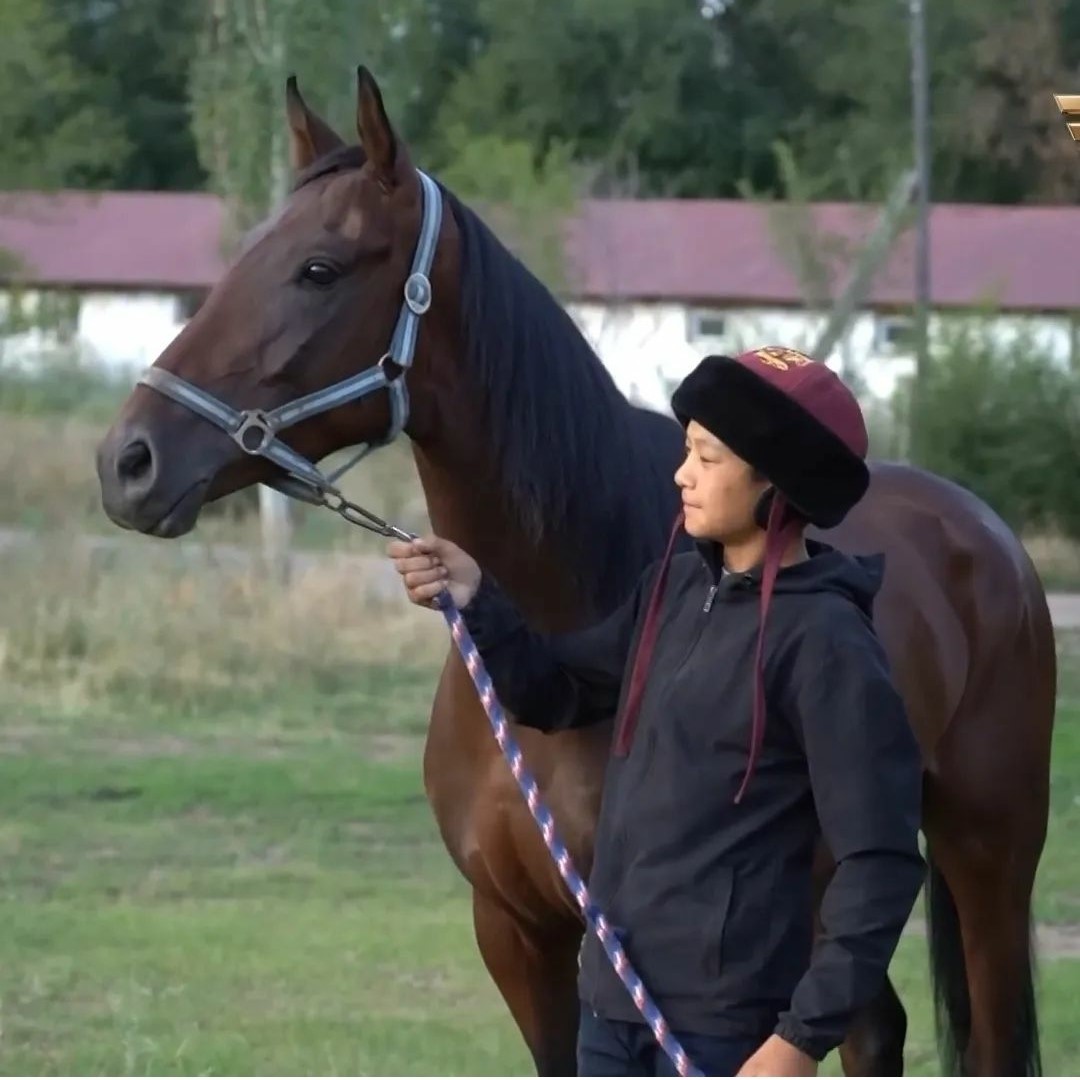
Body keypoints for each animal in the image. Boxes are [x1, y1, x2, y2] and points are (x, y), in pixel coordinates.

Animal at [95, 65, 1054, 1071]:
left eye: (320, 268)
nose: (129, 462)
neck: (580, 582)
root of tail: (985, 535)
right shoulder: (518, 933)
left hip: (988, 851)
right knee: (870, 1025)